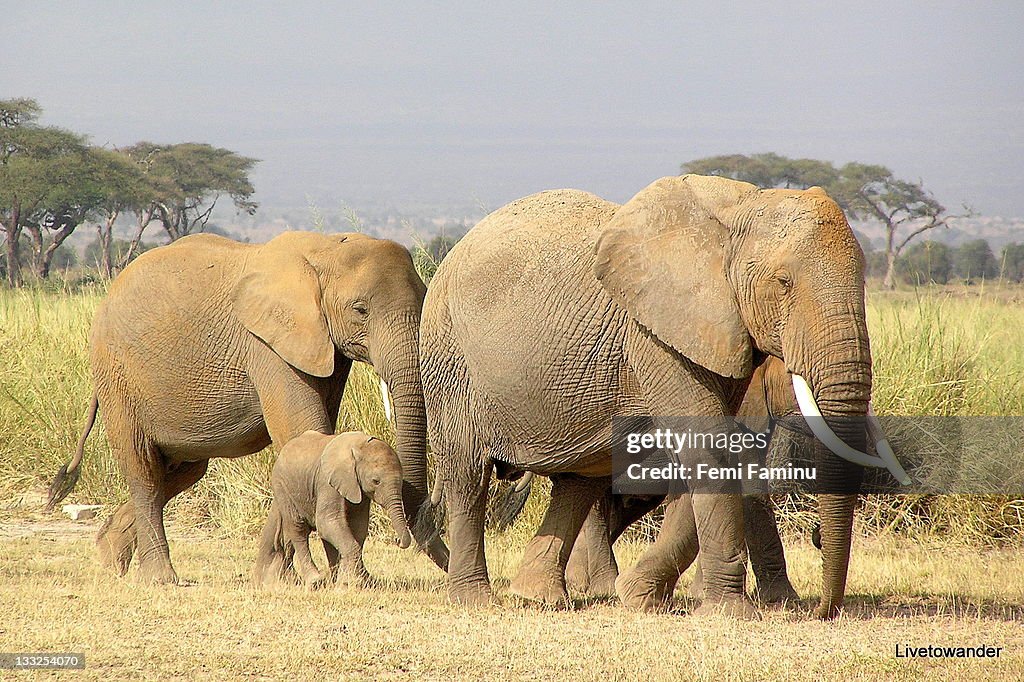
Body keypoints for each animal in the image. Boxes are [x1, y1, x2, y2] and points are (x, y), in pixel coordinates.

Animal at [252, 430, 411, 585]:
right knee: (298, 529)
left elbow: (358, 526)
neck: (358, 447)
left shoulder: (358, 488)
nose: (397, 541)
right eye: (376, 481)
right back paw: (314, 581)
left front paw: (357, 580)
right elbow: (327, 521)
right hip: (282, 486)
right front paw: (352, 581)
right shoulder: (327, 482)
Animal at [419, 174, 876, 614]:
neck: (741, 205)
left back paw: (538, 597)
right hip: (450, 358)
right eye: (783, 283)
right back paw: (475, 600)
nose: (822, 610)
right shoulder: (656, 337)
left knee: (578, 481)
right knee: (468, 474)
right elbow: (709, 445)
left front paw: (640, 597)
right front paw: (728, 612)